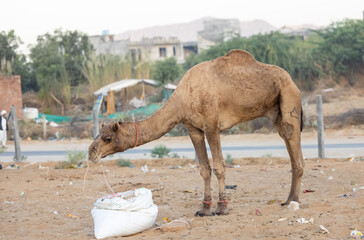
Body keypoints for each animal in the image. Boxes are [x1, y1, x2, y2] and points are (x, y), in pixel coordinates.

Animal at [88, 49, 304, 217]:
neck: (184, 97)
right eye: (97, 135)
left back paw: (293, 201)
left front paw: (222, 208)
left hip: (289, 98)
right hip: (276, 113)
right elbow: (204, 169)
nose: (91, 152)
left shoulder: (211, 125)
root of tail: (293, 81)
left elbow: (219, 166)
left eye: (108, 138)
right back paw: (288, 199)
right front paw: (204, 209)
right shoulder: (194, 129)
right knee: (288, 143)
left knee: (293, 143)